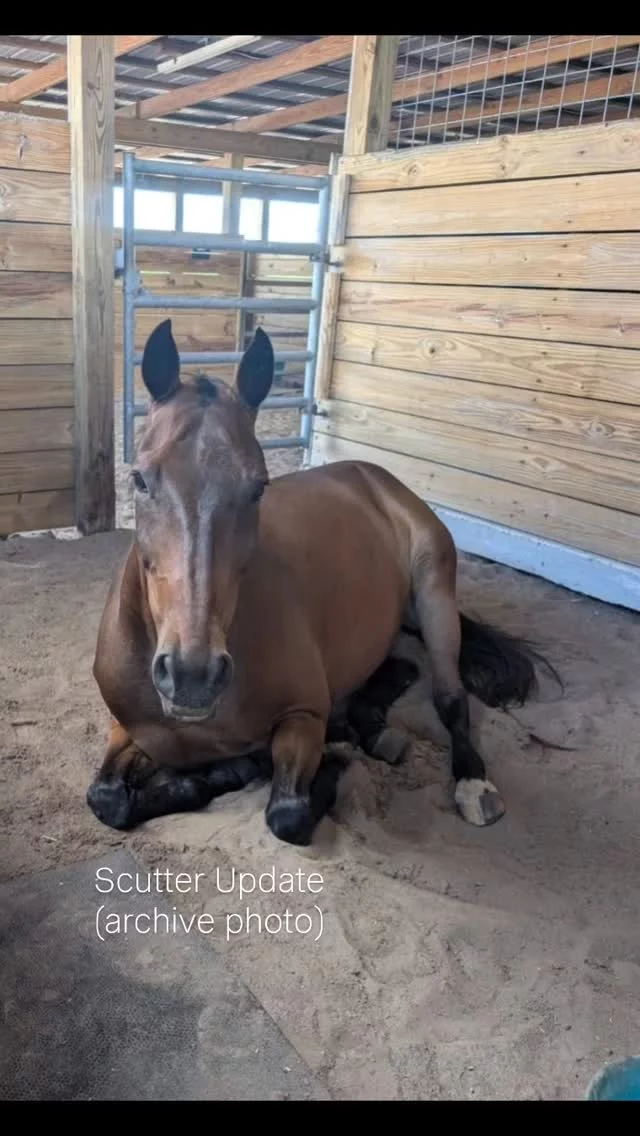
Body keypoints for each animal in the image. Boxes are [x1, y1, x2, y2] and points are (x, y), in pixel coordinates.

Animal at [86, 318, 555, 846]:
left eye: (259, 487)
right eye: (140, 479)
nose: (192, 674)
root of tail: (375, 478)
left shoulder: (305, 716)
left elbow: (287, 814)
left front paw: (320, 768)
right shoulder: (124, 729)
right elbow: (106, 798)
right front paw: (219, 774)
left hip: (436, 594)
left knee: (449, 696)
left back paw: (472, 783)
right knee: (398, 671)